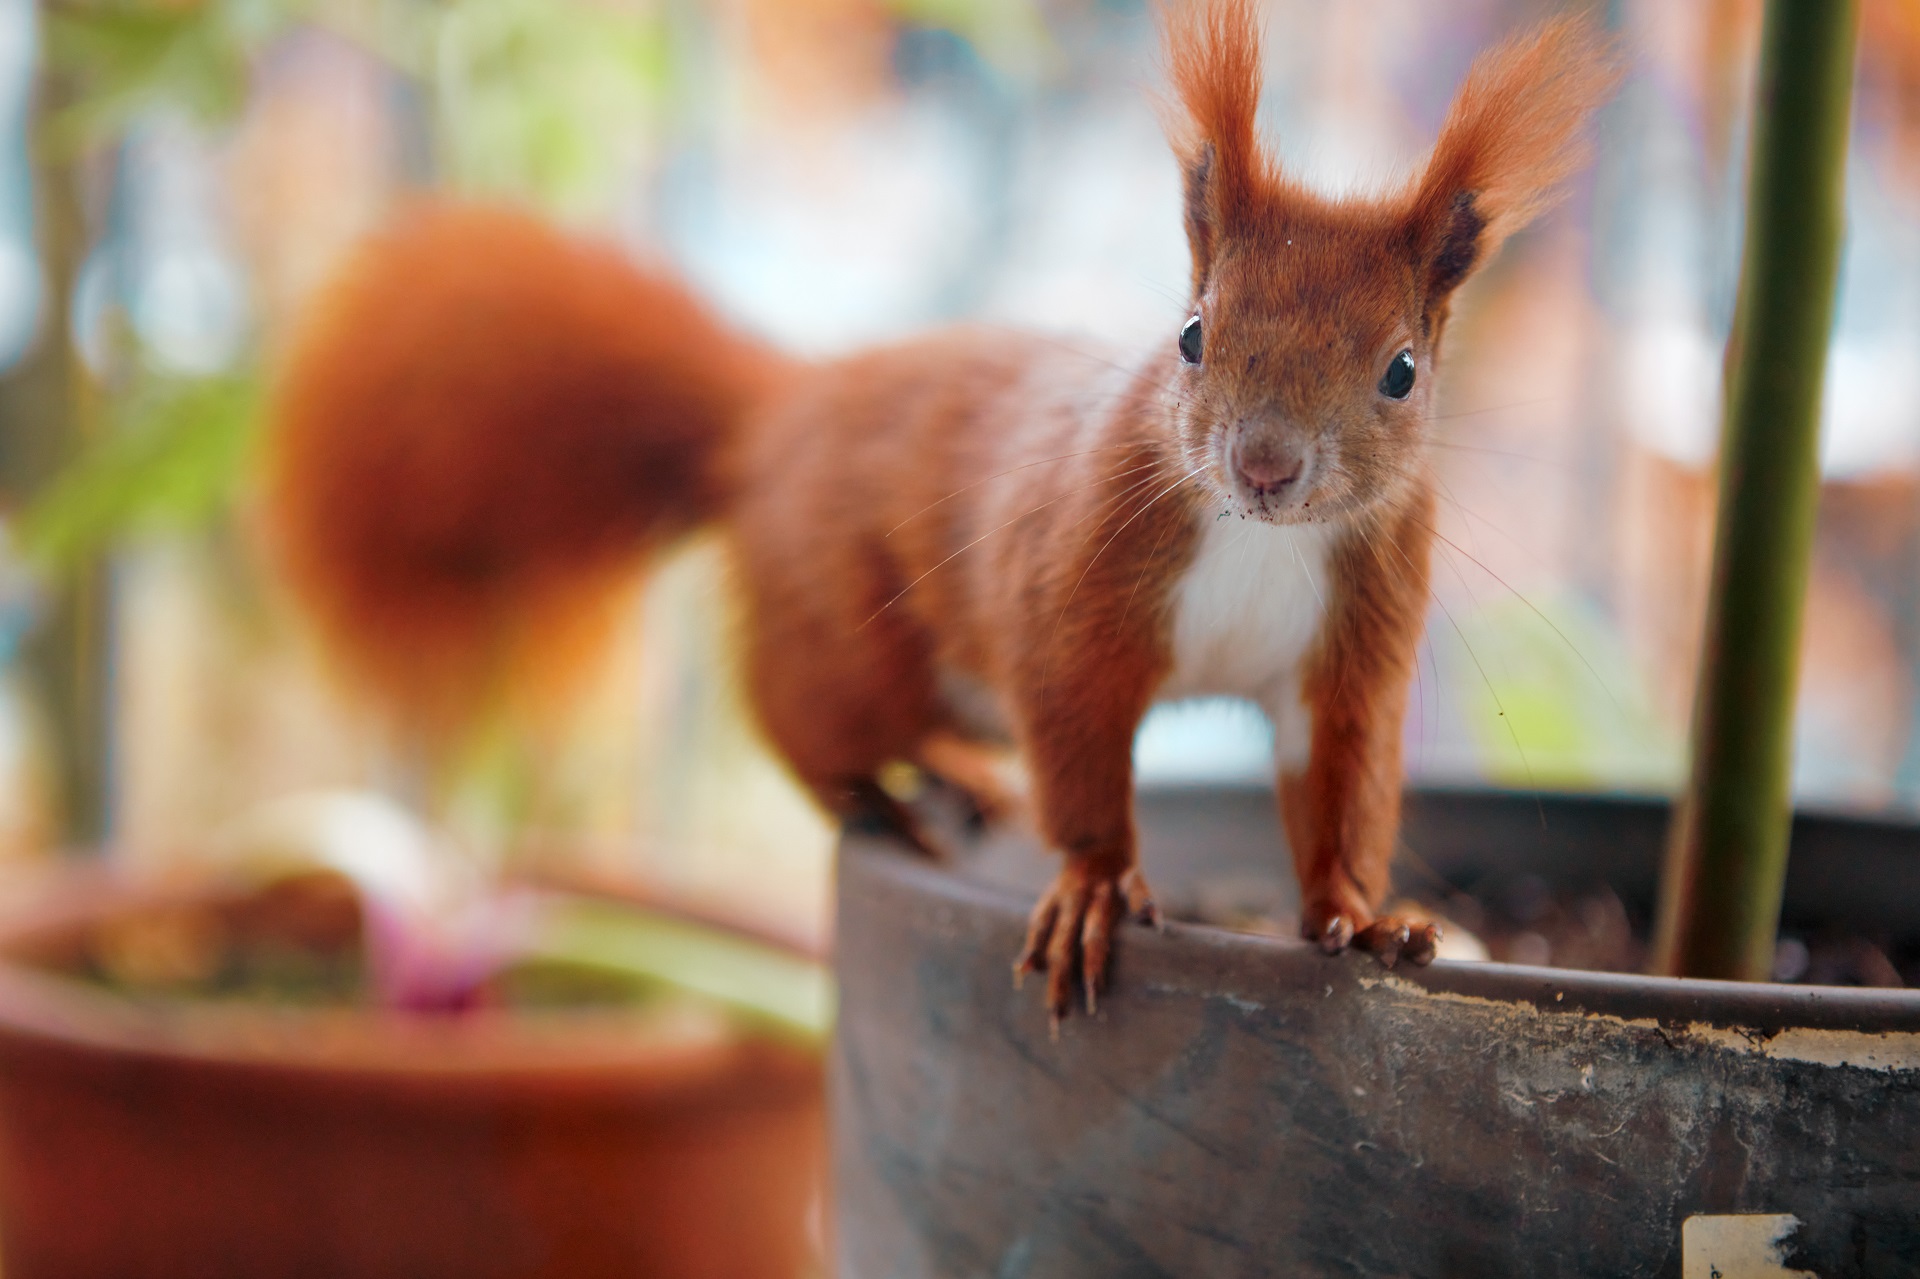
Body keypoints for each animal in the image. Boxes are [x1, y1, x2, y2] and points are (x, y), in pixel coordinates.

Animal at [265, 0, 1618, 1024]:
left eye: (1402, 371)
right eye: (1192, 335)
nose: (1266, 464)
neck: (1259, 544)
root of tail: (779, 415)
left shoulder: (1350, 648)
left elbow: (1342, 787)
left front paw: (1364, 914)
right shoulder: (1070, 592)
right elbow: (1080, 748)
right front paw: (1095, 885)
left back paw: (966, 773)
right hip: (856, 633)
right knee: (795, 709)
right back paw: (869, 794)